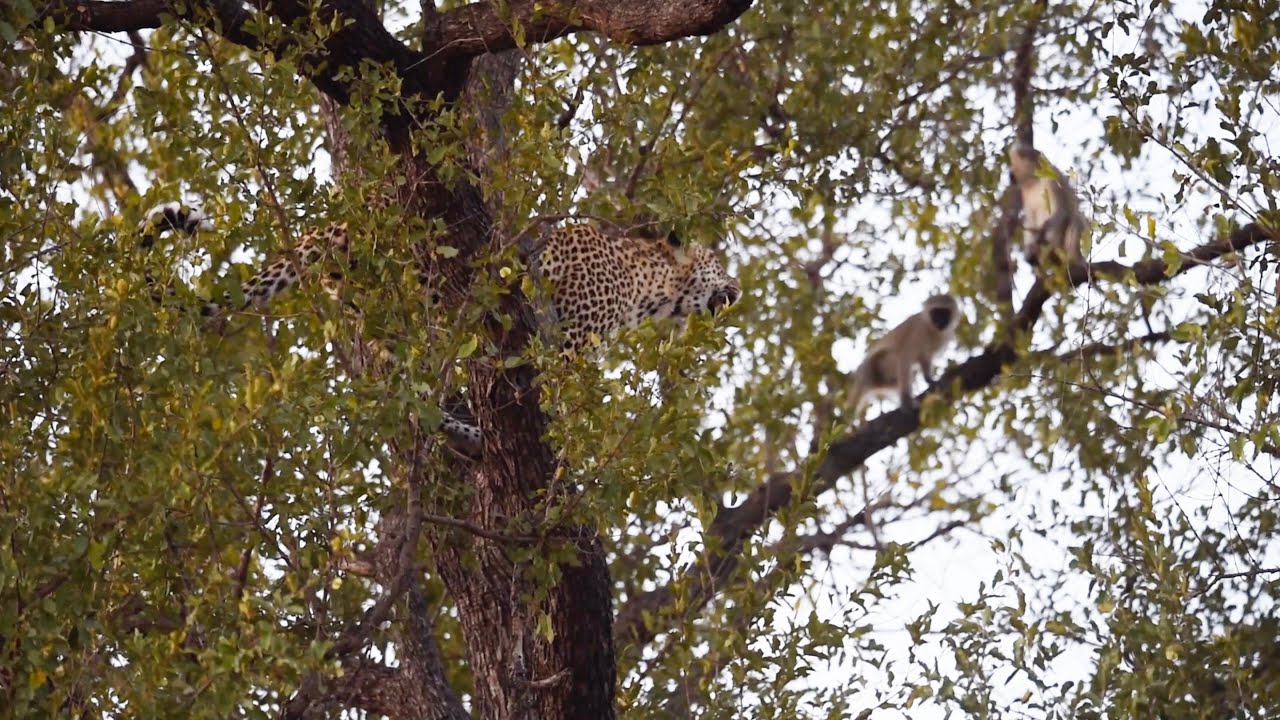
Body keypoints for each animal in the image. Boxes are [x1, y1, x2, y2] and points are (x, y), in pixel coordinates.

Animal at [136, 201, 742, 451]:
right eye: (719, 261)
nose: (738, 286)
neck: (648, 289)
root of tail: (335, 225)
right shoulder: (567, 341)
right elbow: (560, 405)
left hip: (383, 320)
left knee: (401, 389)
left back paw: (463, 432)